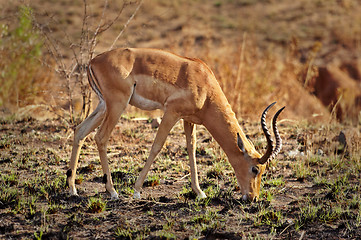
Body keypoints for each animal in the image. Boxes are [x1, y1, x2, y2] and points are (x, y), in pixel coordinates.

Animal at [65, 47, 284, 202]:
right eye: (255, 169)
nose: (253, 198)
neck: (204, 85)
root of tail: (93, 61)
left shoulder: (189, 120)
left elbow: (192, 150)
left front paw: (199, 192)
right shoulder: (171, 112)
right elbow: (157, 146)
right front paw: (137, 191)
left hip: (103, 105)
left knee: (80, 131)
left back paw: (73, 189)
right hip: (117, 105)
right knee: (100, 137)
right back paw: (112, 192)